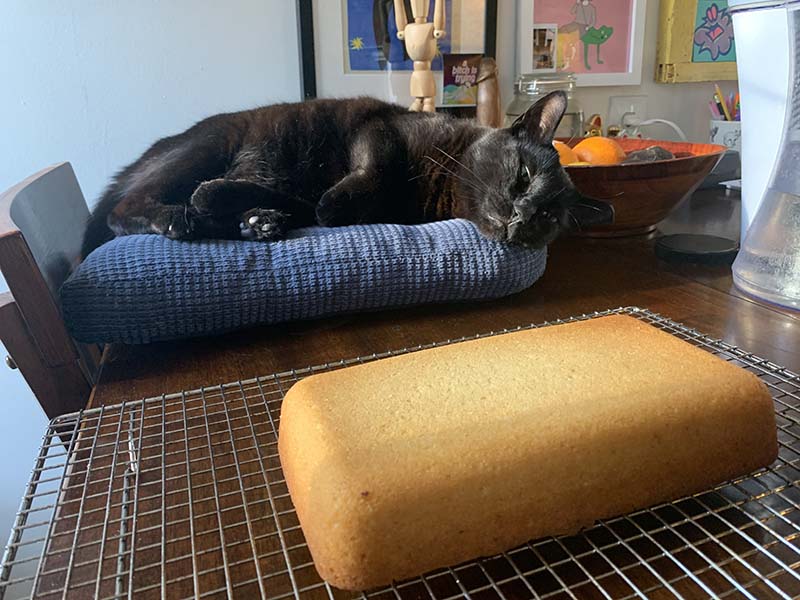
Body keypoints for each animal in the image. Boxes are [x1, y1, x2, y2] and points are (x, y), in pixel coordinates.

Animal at [81, 92, 608, 256]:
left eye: (547, 218)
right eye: (523, 176)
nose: (520, 218)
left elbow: (318, 208)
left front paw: (266, 209)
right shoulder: (379, 131)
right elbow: (355, 185)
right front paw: (321, 202)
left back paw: (255, 221)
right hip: (206, 147)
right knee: (123, 210)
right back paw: (178, 217)